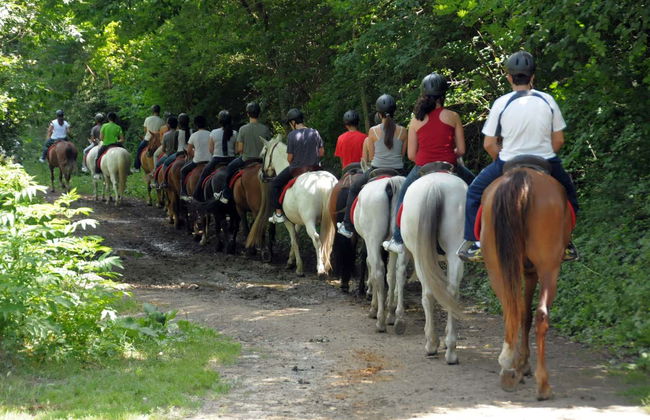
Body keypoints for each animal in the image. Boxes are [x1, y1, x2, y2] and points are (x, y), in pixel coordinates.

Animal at [258, 135, 337, 276]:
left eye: (262, 156)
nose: (261, 175)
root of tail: (325, 183)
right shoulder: (299, 221)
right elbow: (295, 237)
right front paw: (291, 261)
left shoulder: (288, 221)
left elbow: (294, 240)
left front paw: (299, 267)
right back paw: (326, 266)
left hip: (310, 220)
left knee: (317, 239)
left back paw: (321, 269)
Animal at [352, 175, 409, 333]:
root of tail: (391, 183)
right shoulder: (391, 246)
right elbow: (391, 276)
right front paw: (390, 314)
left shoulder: (370, 243)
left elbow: (371, 268)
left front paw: (374, 306)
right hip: (401, 242)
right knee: (400, 272)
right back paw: (398, 319)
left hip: (373, 239)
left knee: (378, 270)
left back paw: (380, 320)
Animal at [399, 172, 467, 363]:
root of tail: (434, 186)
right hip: (454, 253)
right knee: (451, 292)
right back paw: (451, 351)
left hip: (419, 255)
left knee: (428, 294)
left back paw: (431, 343)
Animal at [480, 160, 573, 400]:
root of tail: (521, 177)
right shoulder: (531, 272)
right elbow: (526, 314)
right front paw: (523, 364)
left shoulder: (527, 271)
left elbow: (523, 314)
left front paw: (521, 364)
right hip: (548, 267)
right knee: (537, 313)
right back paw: (539, 382)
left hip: (498, 267)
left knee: (514, 310)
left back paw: (512, 369)